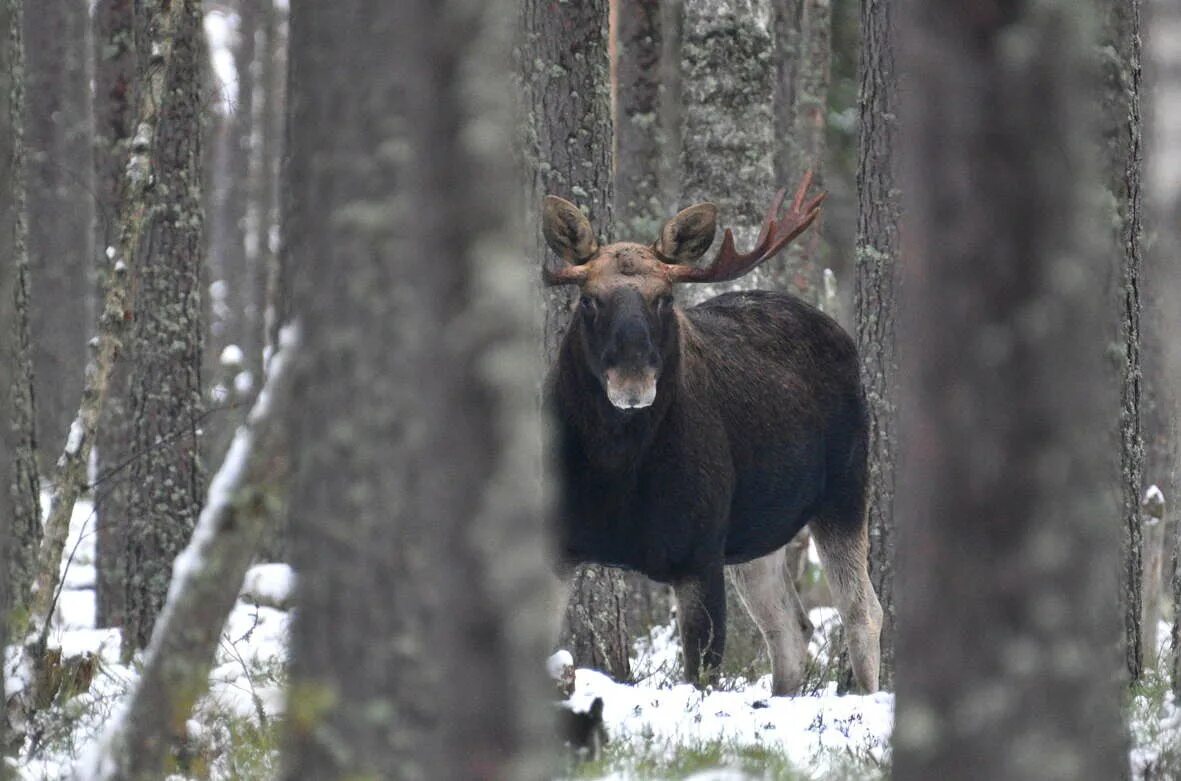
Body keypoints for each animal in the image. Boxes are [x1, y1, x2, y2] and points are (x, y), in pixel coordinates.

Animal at [540, 177, 883, 694]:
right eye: (587, 299)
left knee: (862, 612)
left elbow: (700, 677)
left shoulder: (698, 553)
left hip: (844, 491)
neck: (615, 468)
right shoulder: (558, 548)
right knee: (792, 627)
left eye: (665, 297)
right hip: (756, 534)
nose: (633, 383)